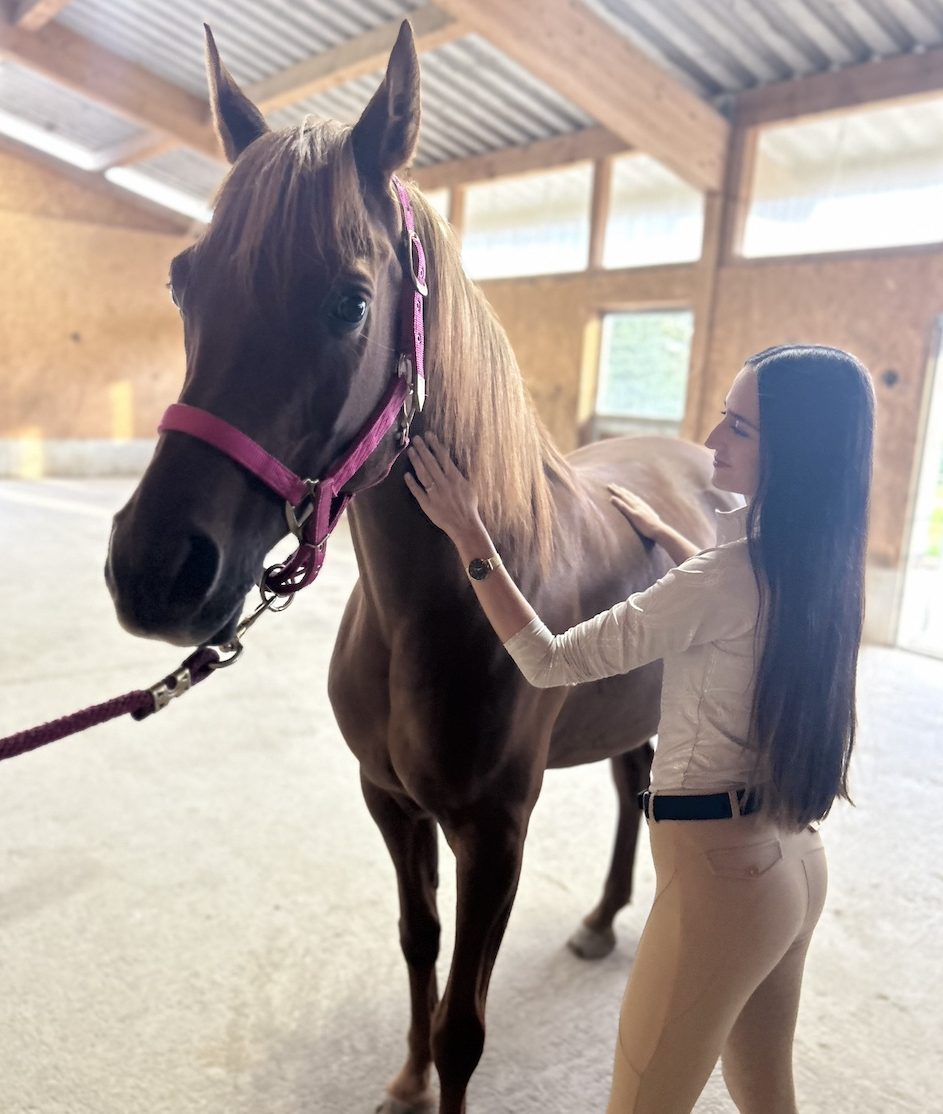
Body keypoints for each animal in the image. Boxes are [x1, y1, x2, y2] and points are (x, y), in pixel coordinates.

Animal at [105, 22, 736, 1114]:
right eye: (185, 279)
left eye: (349, 302)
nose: (155, 570)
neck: (444, 609)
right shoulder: (391, 803)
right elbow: (416, 945)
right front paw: (401, 1080)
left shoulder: (494, 833)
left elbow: (463, 1024)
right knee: (633, 779)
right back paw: (603, 919)